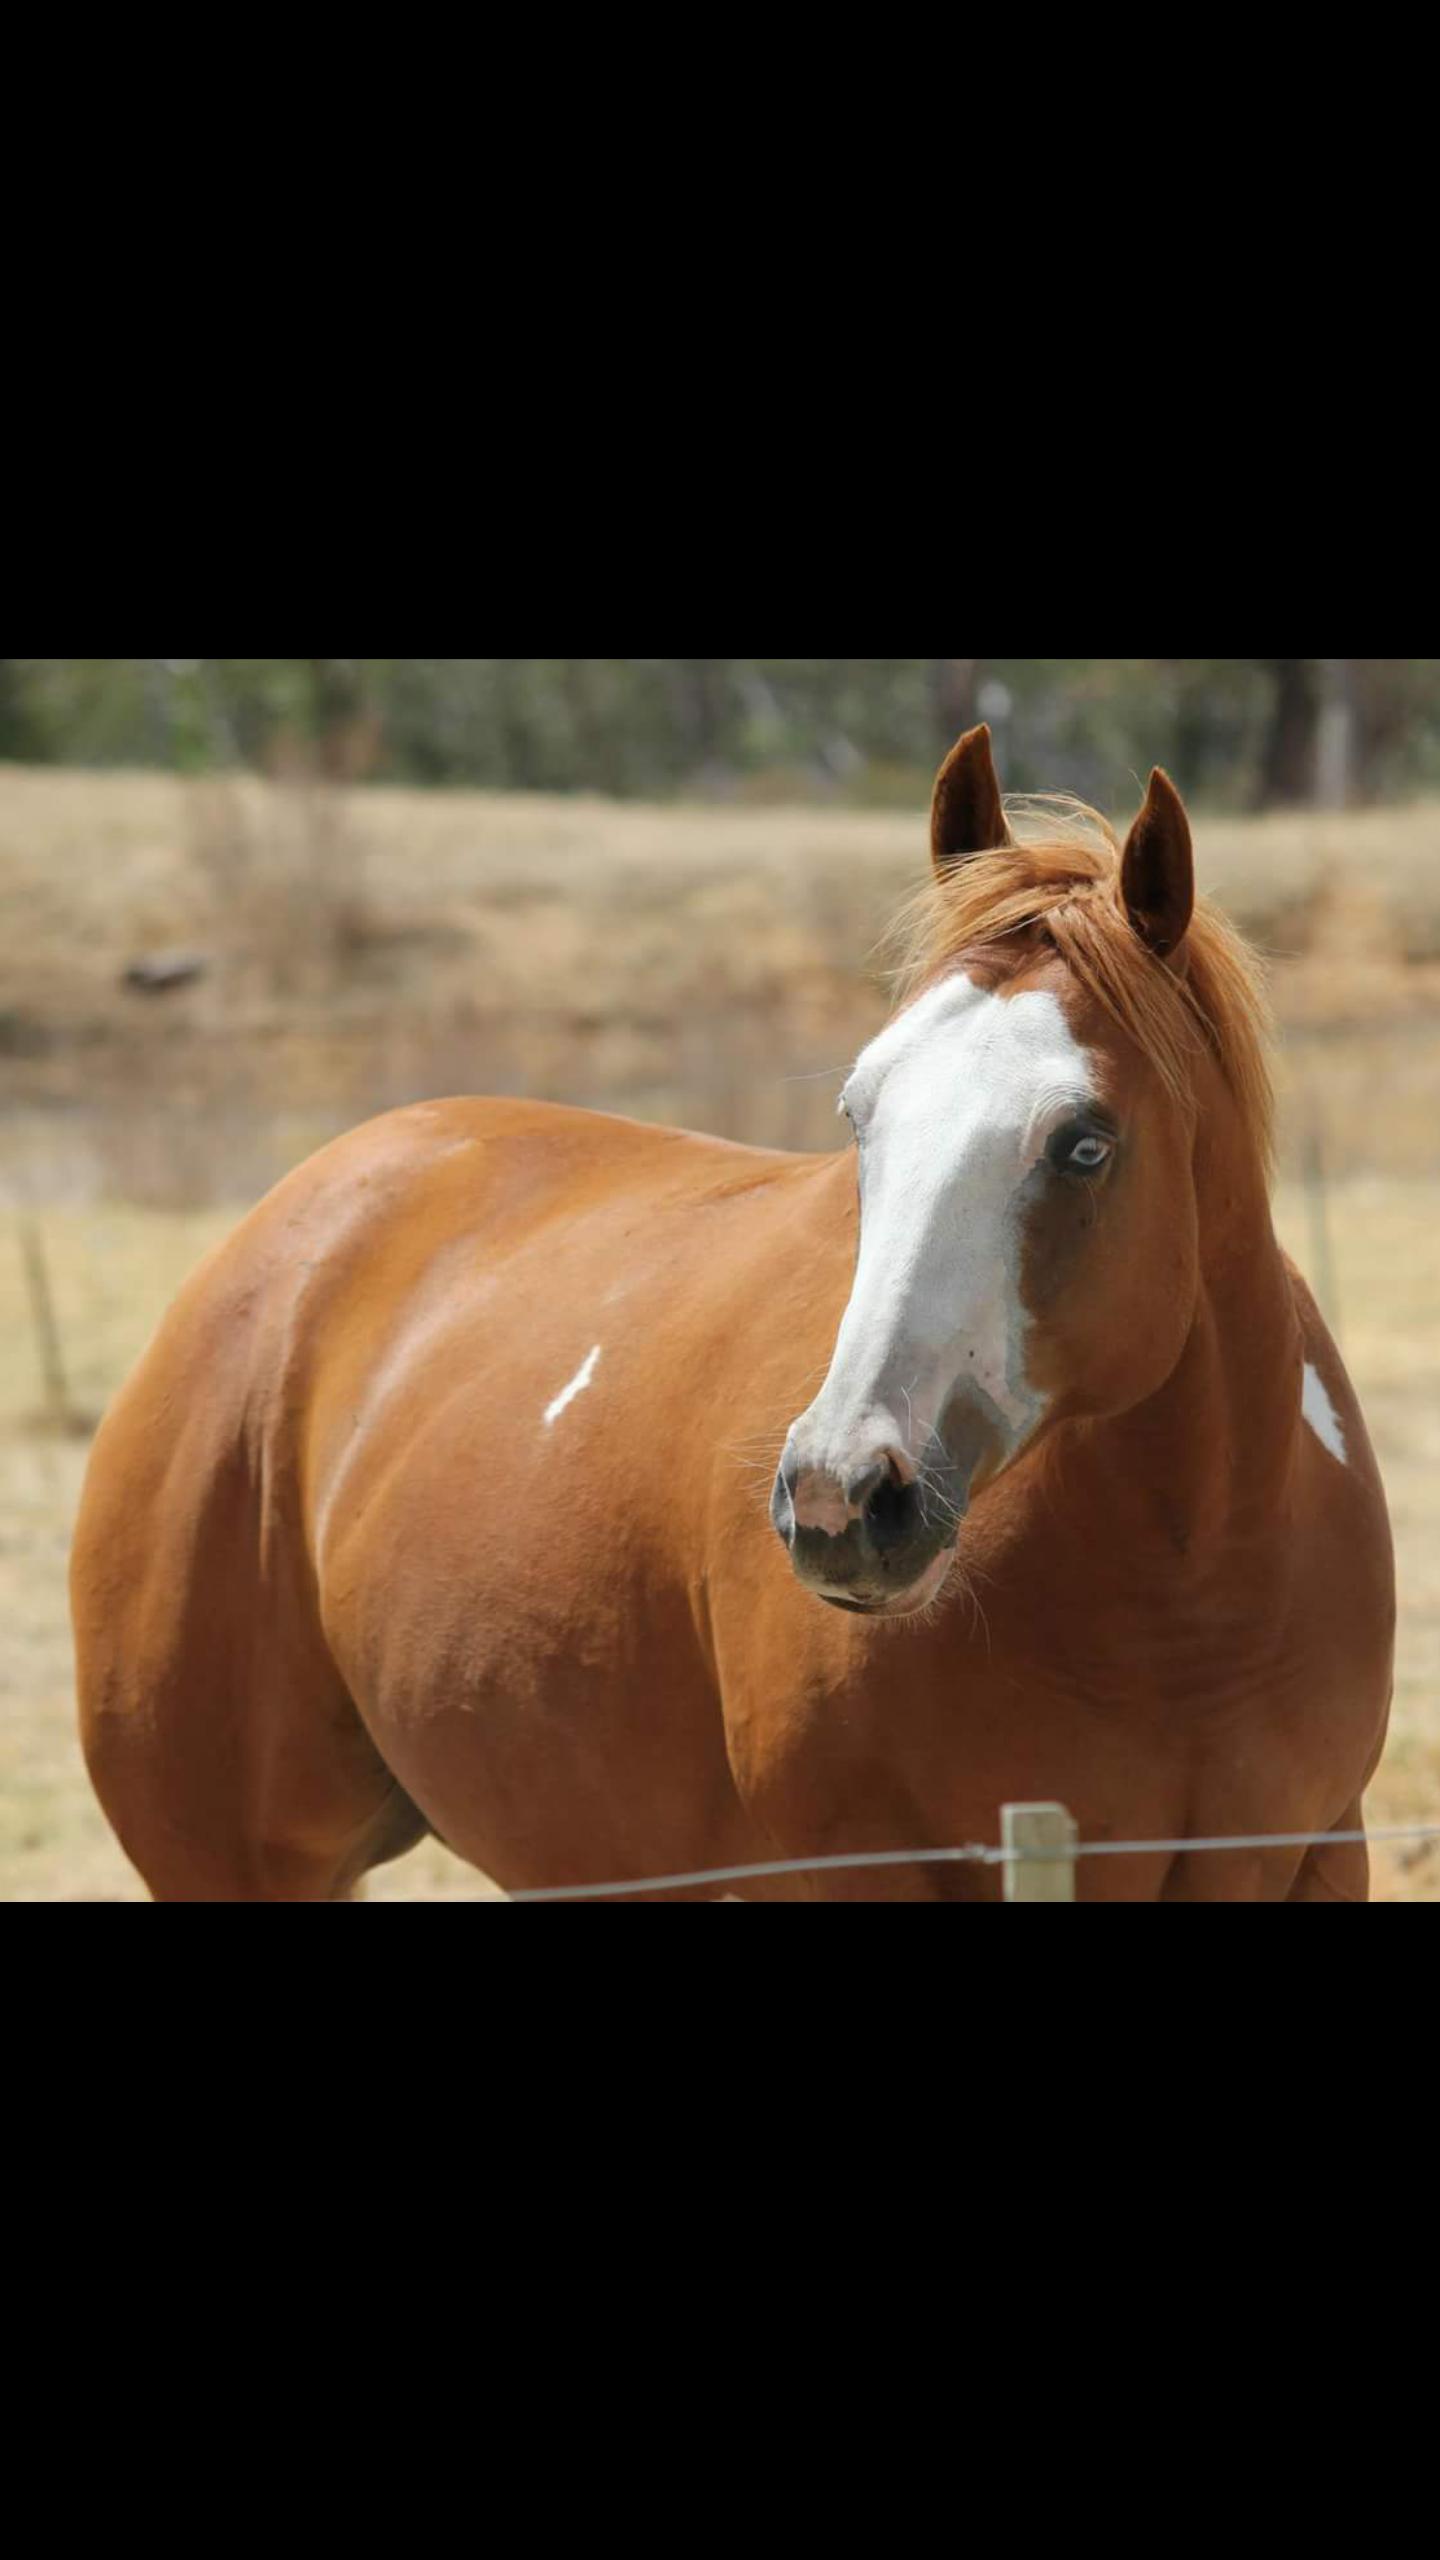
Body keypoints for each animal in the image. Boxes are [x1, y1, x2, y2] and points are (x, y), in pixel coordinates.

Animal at [70, 727, 1395, 1900]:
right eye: (862, 1111)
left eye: (1084, 1142)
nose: (842, 1499)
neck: (1192, 1599)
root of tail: (278, 1239)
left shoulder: (1316, 1853)